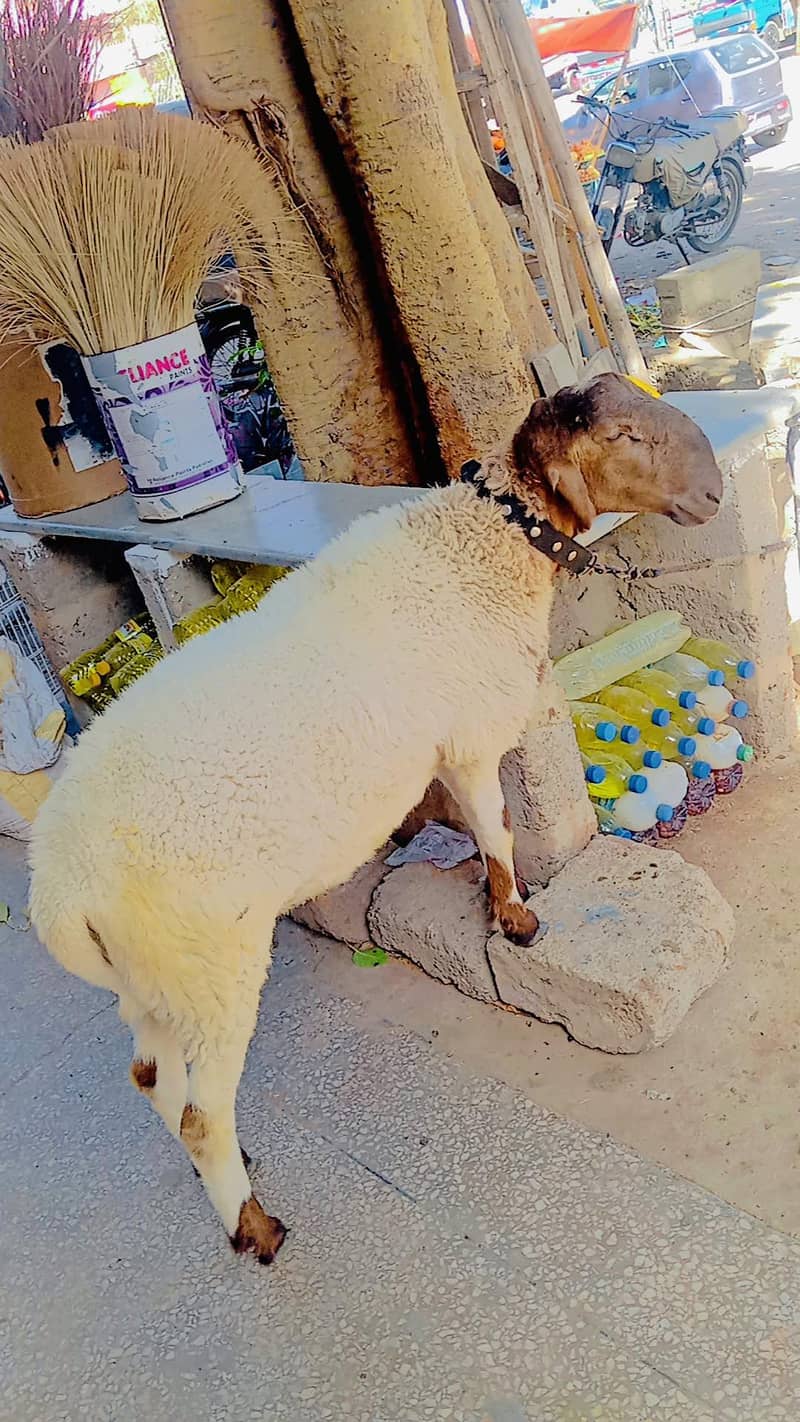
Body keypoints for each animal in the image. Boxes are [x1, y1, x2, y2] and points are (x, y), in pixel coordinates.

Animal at [29, 373, 722, 1265]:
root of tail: (59, 893)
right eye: (625, 436)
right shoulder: (469, 733)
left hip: (152, 979)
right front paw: (516, 918)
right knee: (200, 1112)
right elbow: (495, 827)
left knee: (153, 1079)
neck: (479, 545)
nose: (714, 491)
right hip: (207, 965)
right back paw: (253, 1226)